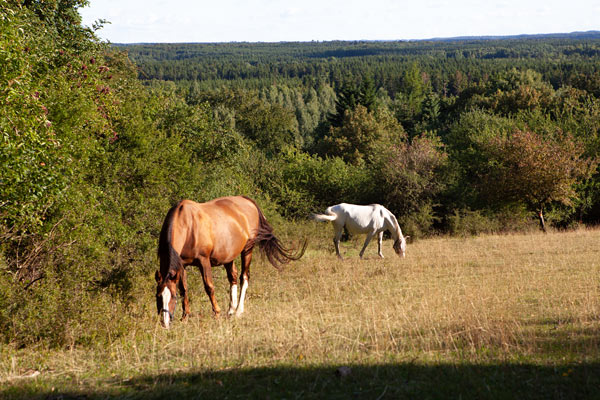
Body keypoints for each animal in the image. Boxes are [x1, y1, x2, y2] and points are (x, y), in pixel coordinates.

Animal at [156, 195, 304, 328]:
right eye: (158, 296)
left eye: (172, 297)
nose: (165, 323)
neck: (188, 226)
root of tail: (247, 201)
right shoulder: (182, 265)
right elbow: (184, 289)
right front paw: (185, 317)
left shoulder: (204, 261)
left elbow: (209, 287)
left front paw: (216, 313)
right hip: (229, 257)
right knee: (233, 277)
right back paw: (231, 310)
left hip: (247, 250)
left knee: (244, 277)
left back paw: (239, 311)